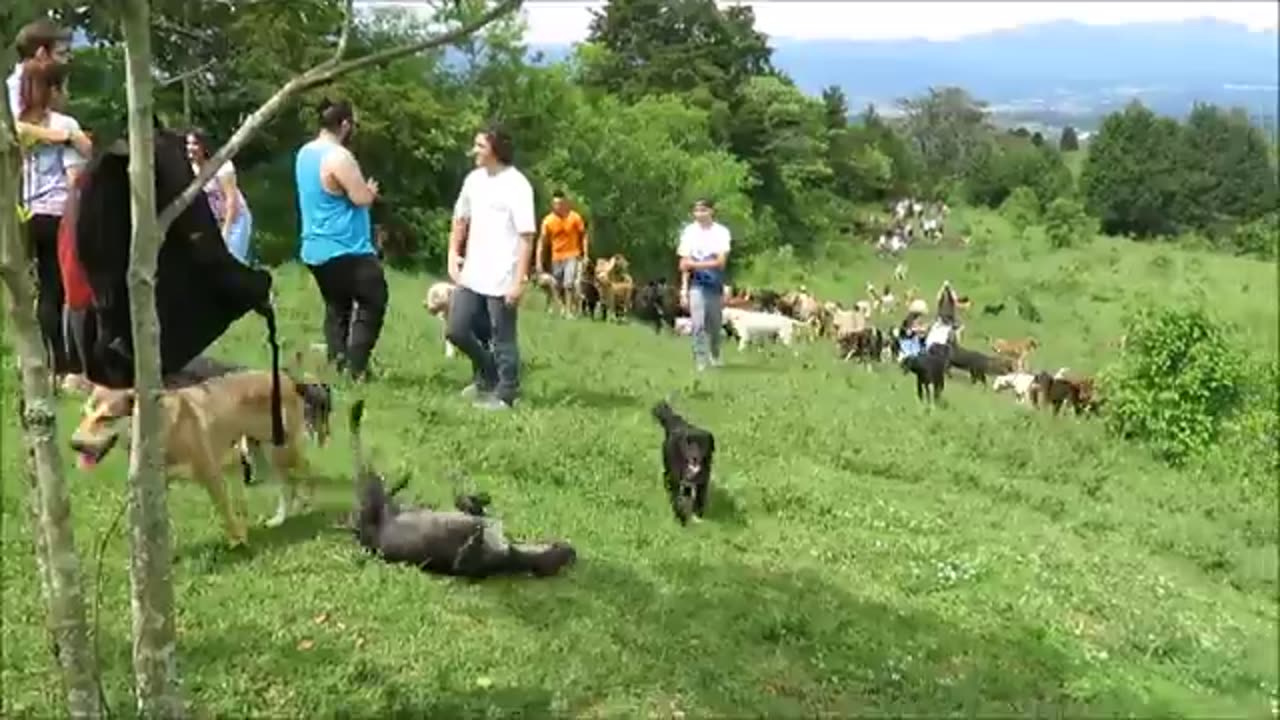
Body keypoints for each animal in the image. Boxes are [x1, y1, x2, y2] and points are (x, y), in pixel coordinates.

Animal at [70, 366, 320, 545]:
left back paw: (307, 502)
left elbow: (226, 512)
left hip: (280, 450)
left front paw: (239, 542)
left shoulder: (212, 475)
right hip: (258, 453)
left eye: (106, 418)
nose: (74, 444)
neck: (159, 430)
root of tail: (287, 379)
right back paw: (280, 518)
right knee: (285, 484)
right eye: (84, 414)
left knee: (306, 469)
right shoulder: (160, 484)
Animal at [348, 397, 573, 576]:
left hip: (370, 495)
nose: (568, 549)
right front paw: (478, 503)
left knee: (363, 464)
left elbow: (466, 559)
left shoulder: (471, 563)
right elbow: (470, 507)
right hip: (376, 496)